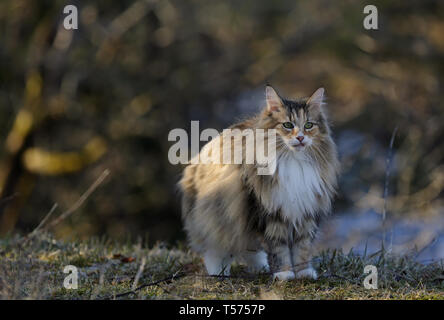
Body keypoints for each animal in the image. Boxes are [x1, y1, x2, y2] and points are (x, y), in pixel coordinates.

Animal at [179, 85, 338, 280]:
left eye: (308, 125)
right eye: (287, 125)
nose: (300, 138)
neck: (294, 160)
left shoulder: (305, 213)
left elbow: (302, 248)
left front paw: (303, 272)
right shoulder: (269, 214)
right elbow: (279, 250)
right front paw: (284, 274)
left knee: (251, 251)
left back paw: (259, 268)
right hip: (216, 218)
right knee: (214, 250)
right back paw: (219, 273)